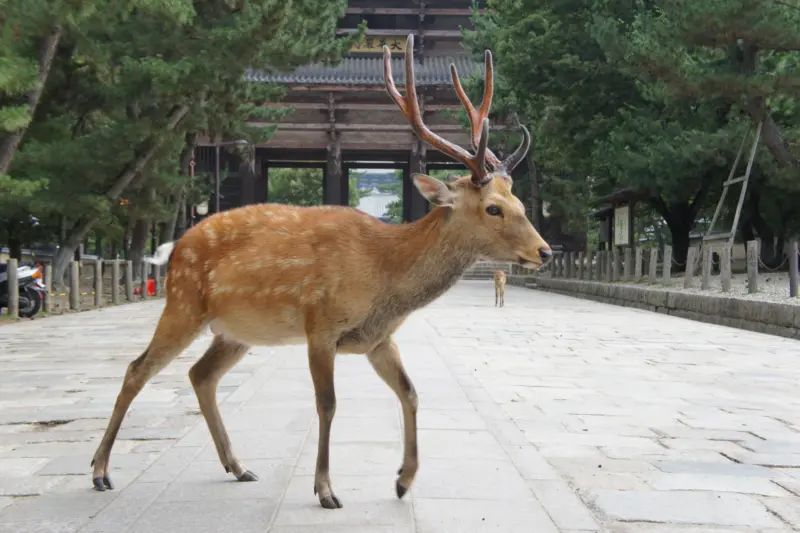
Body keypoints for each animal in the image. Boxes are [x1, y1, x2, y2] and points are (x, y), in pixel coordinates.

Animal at [87, 33, 552, 508]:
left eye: (520, 203)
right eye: (493, 208)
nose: (545, 251)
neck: (384, 274)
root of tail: (176, 245)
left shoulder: (377, 339)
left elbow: (411, 392)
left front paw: (403, 480)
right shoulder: (320, 325)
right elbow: (327, 404)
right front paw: (326, 489)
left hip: (234, 331)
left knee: (200, 375)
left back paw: (238, 466)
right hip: (182, 304)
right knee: (137, 369)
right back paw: (101, 471)